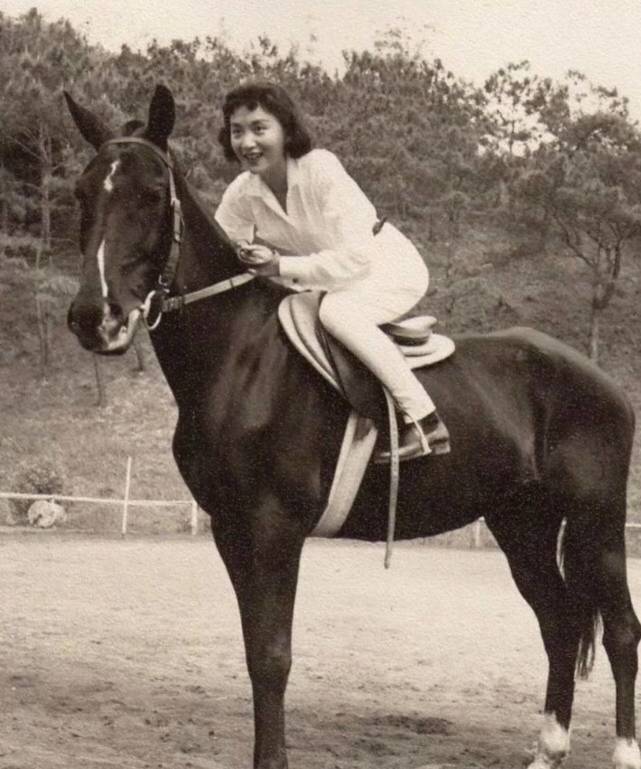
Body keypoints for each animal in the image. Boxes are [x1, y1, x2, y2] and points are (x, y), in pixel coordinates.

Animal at [64, 84, 641, 769]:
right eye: (83, 193)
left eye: (152, 194)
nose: (95, 317)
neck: (241, 356)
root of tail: (602, 381)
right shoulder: (231, 530)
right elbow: (254, 651)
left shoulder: (274, 527)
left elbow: (272, 657)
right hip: (521, 523)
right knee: (559, 621)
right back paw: (548, 749)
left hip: (596, 523)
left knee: (622, 632)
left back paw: (624, 751)